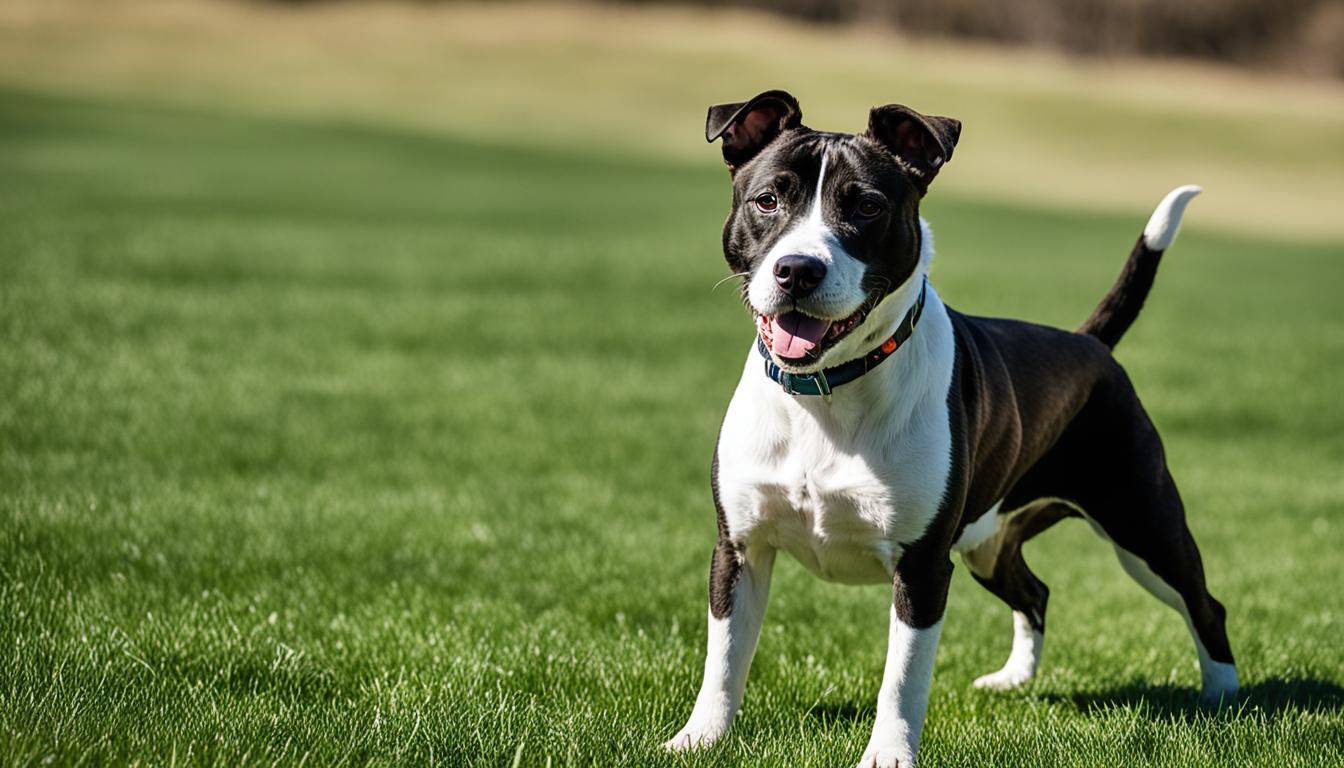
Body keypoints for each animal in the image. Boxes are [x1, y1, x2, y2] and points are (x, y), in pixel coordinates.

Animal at [663, 91, 1236, 768]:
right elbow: (724, 659)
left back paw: (1223, 700)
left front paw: (888, 755)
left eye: (867, 206)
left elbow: (902, 678)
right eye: (768, 200)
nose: (798, 269)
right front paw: (699, 738)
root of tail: (1089, 345)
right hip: (992, 541)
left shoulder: (923, 567)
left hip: (1142, 523)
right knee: (1035, 593)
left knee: (1204, 604)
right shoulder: (741, 548)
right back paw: (1014, 680)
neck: (829, 394)